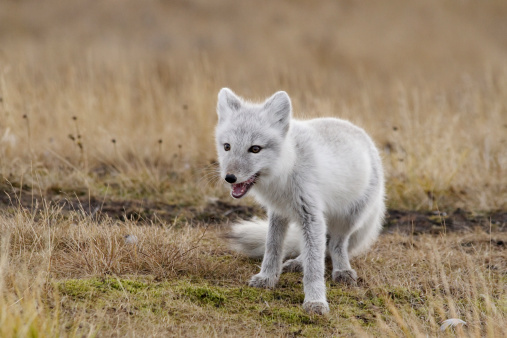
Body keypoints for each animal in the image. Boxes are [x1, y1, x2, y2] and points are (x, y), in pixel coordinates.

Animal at [214, 88, 384, 316]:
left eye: (255, 149)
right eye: (227, 147)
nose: (229, 178)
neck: (286, 169)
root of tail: (364, 136)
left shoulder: (311, 215)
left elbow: (315, 267)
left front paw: (315, 301)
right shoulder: (278, 212)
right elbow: (273, 248)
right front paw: (267, 278)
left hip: (348, 219)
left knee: (335, 245)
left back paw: (341, 270)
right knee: (321, 246)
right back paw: (297, 262)